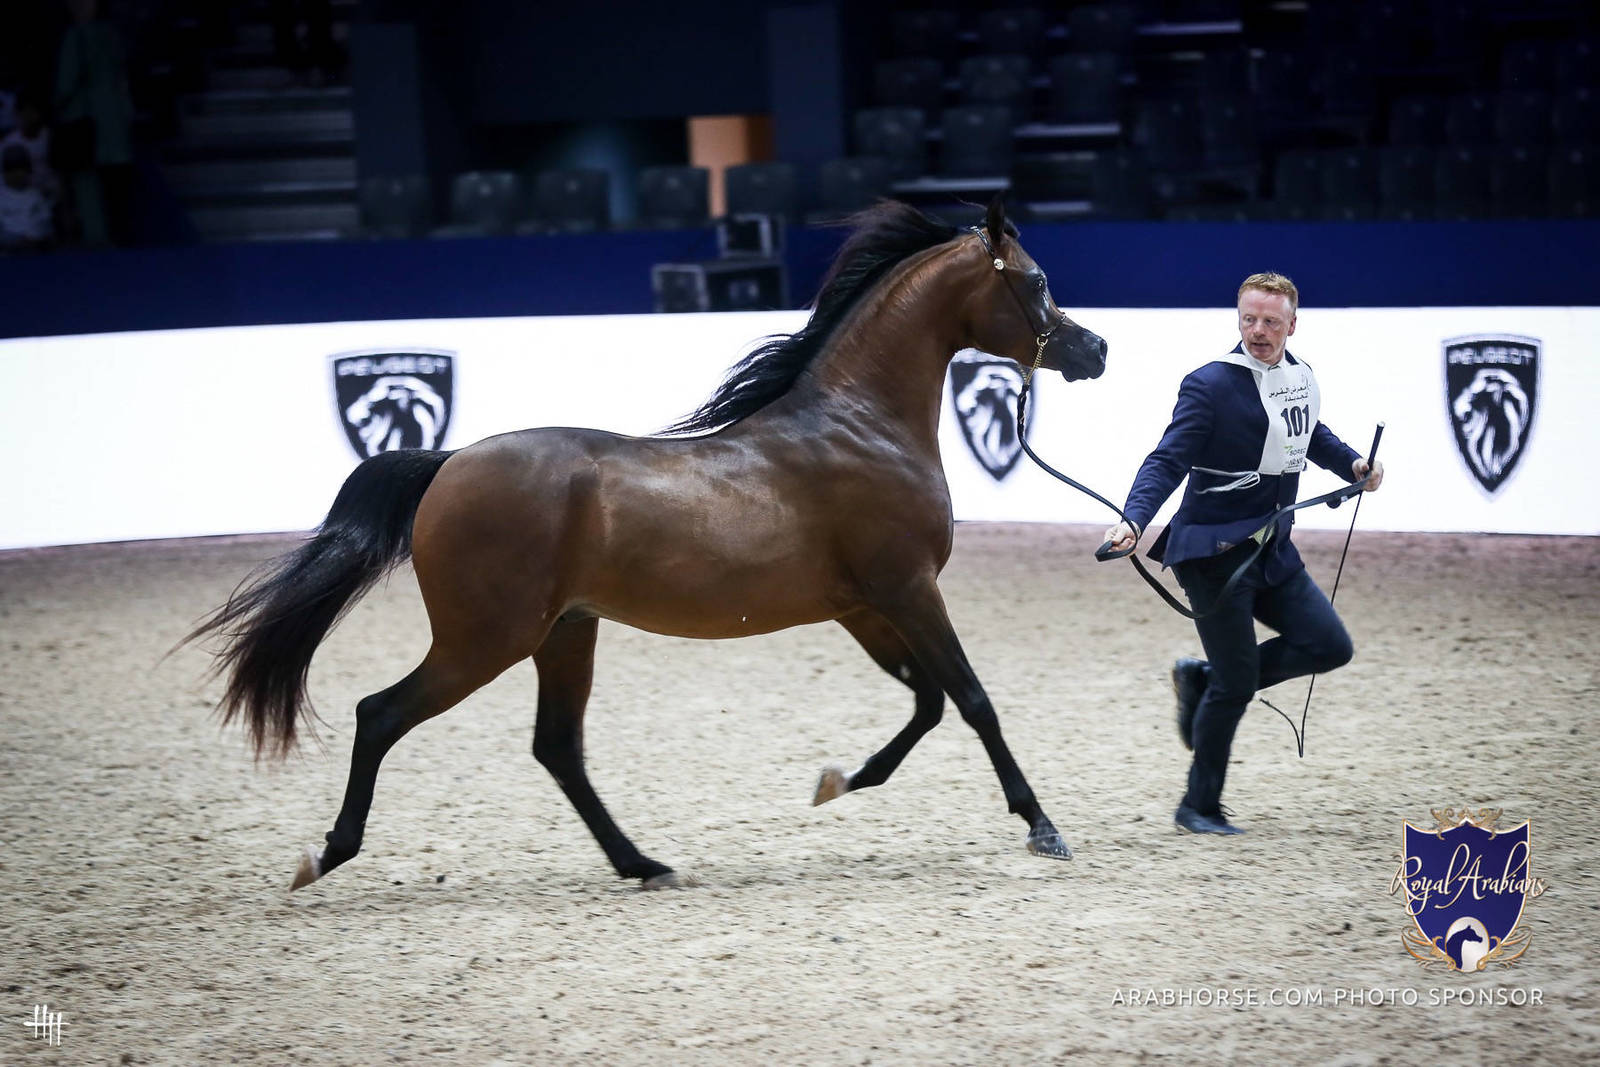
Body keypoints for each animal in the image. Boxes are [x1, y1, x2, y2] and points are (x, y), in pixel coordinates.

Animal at [188, 196, 1108, 890]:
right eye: (1036, 280)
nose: (1095, 349)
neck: (859, 424)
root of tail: (449, 462)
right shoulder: (908, 588)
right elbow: (972, 699)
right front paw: (1042, 826)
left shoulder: (864, 605)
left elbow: (927, 702)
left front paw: (837, 781)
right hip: (486, 639)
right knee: (380, 714)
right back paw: (327, 855)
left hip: (564, 632)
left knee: (557, 748)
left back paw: (643, 863)